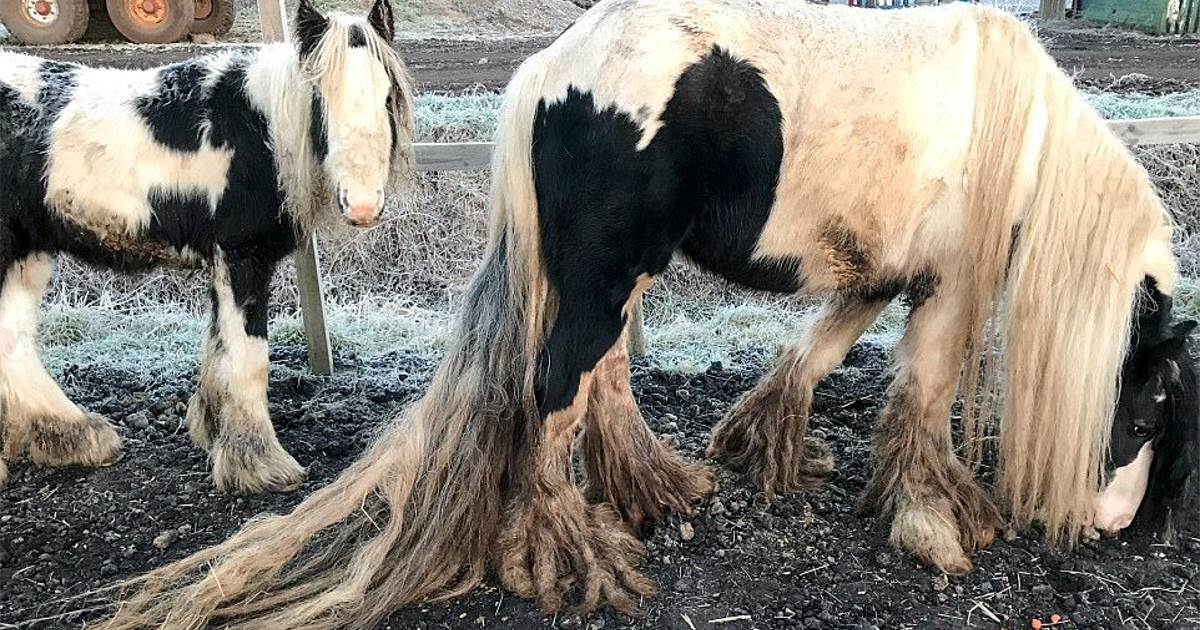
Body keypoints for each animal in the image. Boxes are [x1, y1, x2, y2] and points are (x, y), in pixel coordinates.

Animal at [0, 0, 415, 492]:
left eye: (387, 95)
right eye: (320, 98)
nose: (363, 205)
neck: (259, 131)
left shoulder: (223, 265)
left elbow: (218, 350)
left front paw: (216, 432)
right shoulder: (242, 259)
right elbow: (248, 358)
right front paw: (260, 464)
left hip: (26, 253)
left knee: (12, 340)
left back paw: (71, 437)